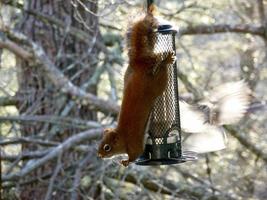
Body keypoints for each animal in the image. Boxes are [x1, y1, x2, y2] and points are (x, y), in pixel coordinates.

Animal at [98, 5, 176, 166]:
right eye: (100, 144)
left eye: (107, 147)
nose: (99, 155)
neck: (122, 135)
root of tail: (138, 64)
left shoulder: (133, 145)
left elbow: (135, 154)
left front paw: (126, 161)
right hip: (128, 74)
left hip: (156, 84)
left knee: (162, 72)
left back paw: (166, 61)